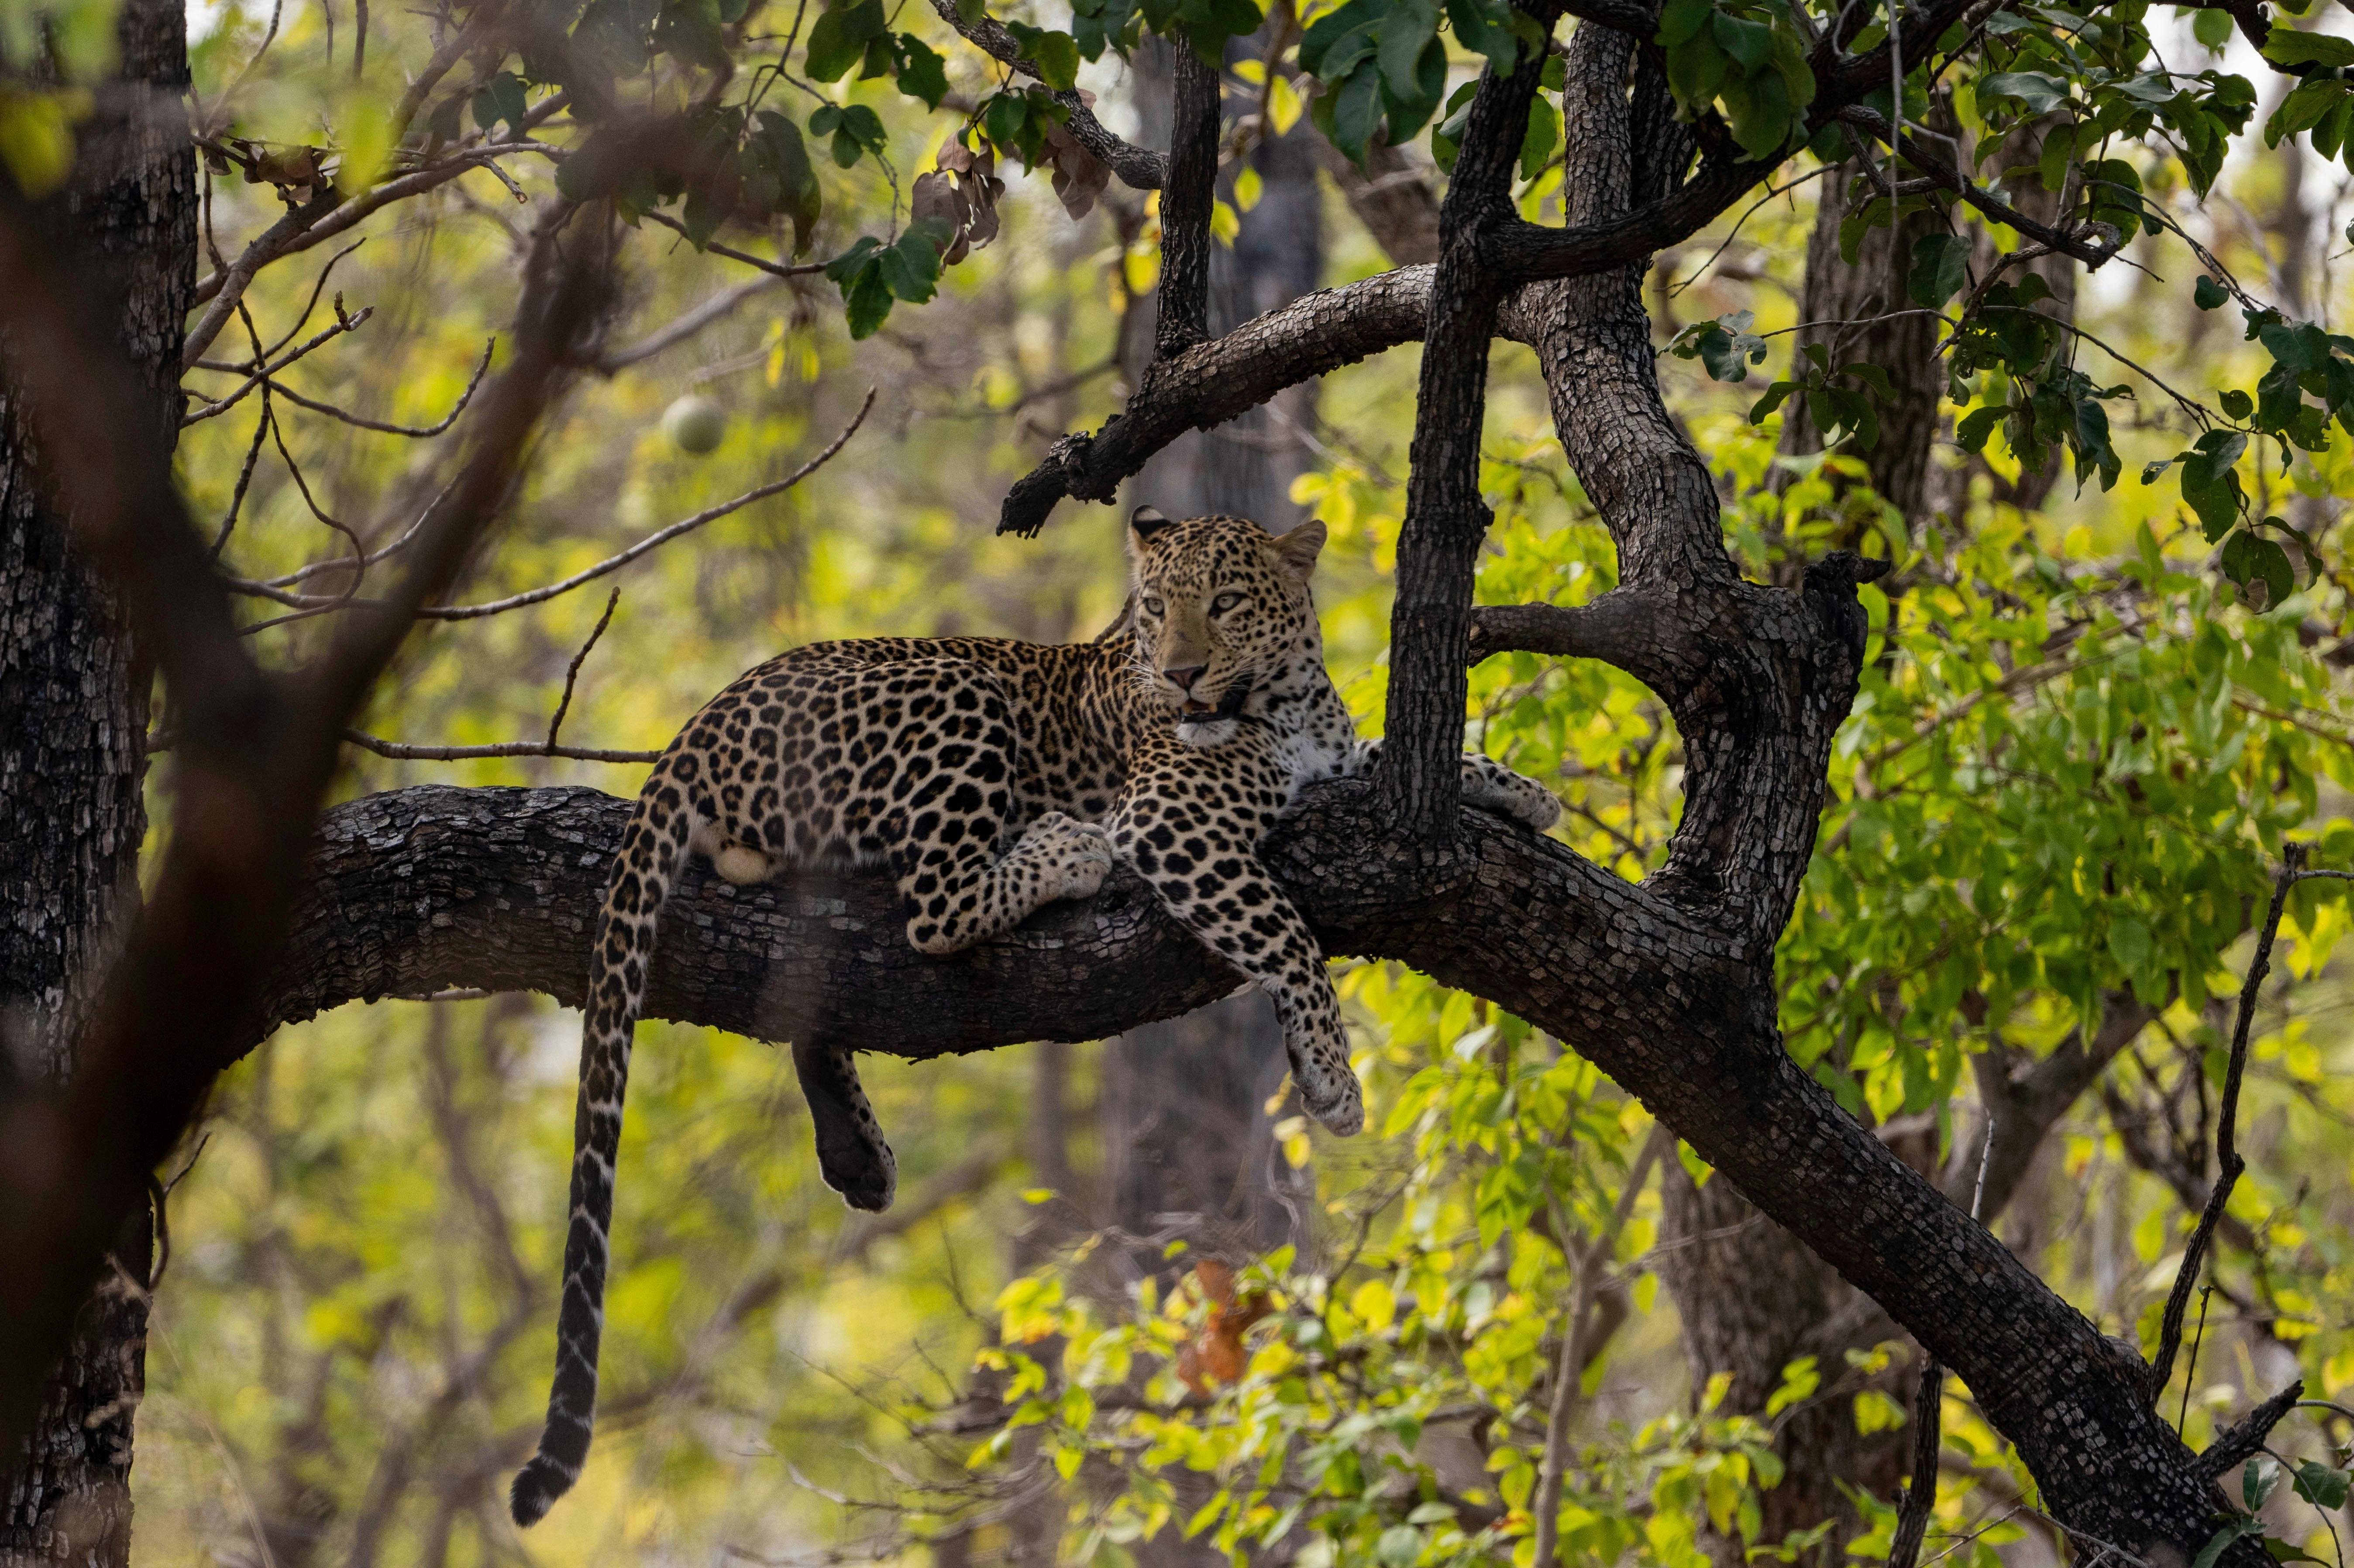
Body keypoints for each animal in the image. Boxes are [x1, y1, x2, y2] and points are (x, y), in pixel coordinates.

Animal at [509, 508, 1562, 1527]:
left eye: (1223, 602)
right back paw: (1064, 848)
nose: (1180, 673)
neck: (1289, 697)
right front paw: (1331, 1075)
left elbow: (1394, 757)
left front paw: (1525, 789)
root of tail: (698, 724)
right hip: (956, 692)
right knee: (932, 907)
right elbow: (1289, 937)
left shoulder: (1333, 768)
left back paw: (855, 1146)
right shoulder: (1171, 821)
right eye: (1153, 610)